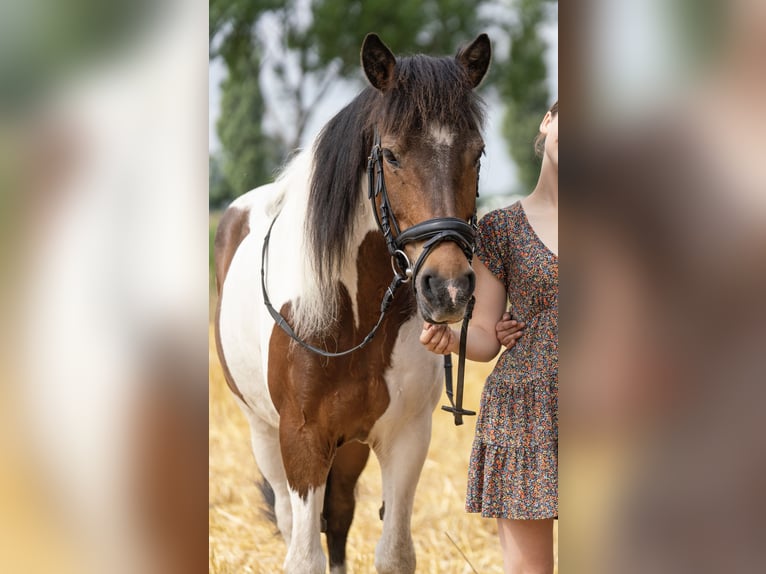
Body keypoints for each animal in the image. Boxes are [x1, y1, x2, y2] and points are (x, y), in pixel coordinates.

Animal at [214, 32, 492, 574]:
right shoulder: (302, 441)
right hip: (264, 434)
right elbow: (305, 557)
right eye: (392, 155)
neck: (356, 317)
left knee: (339, 514)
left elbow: (394, 553)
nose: (449, 288)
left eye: (478, 153)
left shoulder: (405, 437)